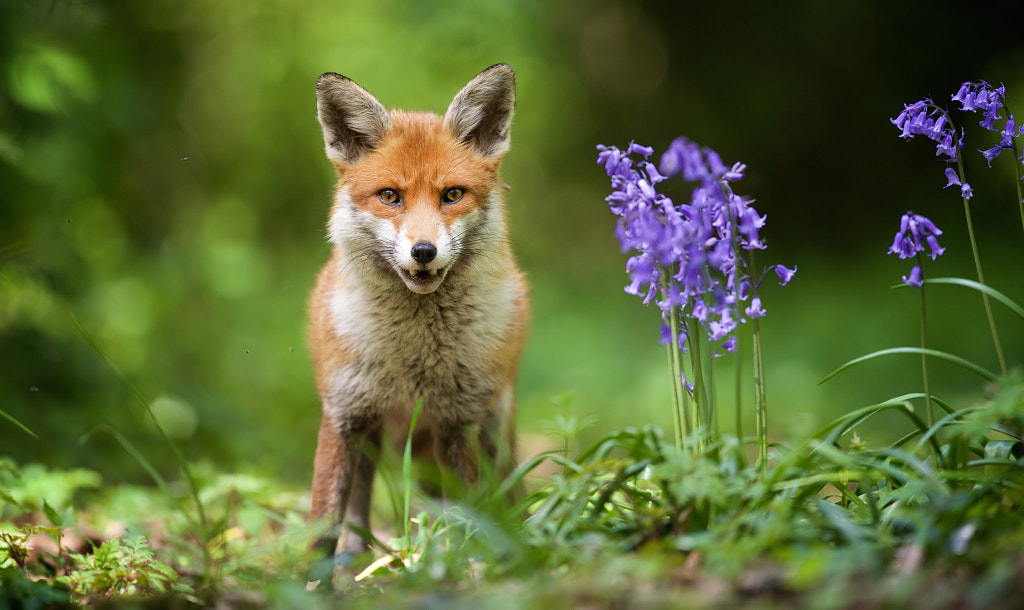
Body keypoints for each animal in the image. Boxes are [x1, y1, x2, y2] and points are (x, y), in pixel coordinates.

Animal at [303, 64, 528, 556]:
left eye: (453, 194)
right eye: (390, 196)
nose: (423, 251)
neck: (413, 359)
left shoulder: (457, 423)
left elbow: (471, 513)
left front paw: (471, 565)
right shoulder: (343, 414)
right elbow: (323, 524)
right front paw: (309, 576)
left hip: (493, 425)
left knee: (503, 489)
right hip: (374, 437)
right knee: (359, 511)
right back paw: (354, 559)